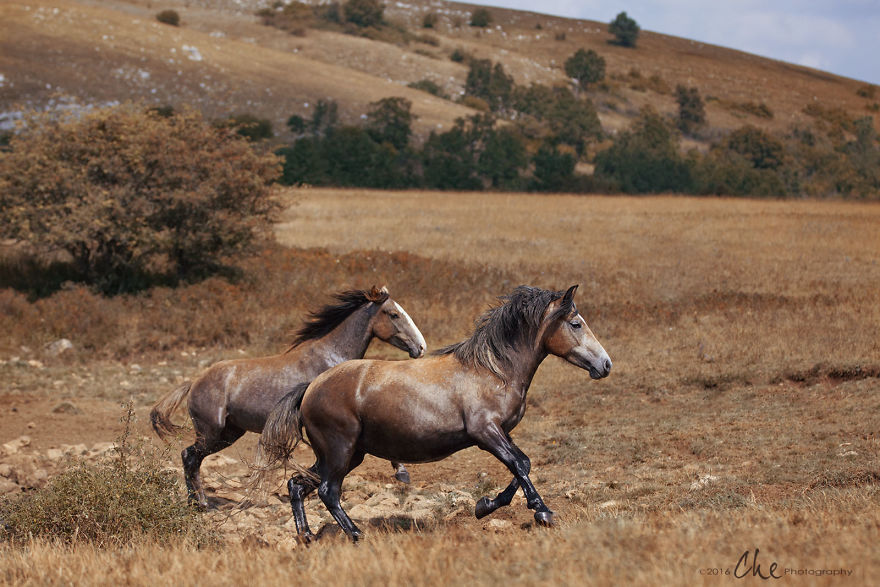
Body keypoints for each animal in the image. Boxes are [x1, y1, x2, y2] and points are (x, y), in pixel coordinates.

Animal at [150, 286, 426, 508]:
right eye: (394, 314)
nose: (421, 347)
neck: (328, 358)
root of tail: (195, 382)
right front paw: (402, 473)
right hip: (210, 432)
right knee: (189, 457)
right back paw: (202, 503)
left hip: (228, 433)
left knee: (192, 458)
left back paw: (196, 502)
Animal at [259, 284, 611, 542]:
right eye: (576, 324)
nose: (605, 365)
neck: (494, 371)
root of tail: (310, 387)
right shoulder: (485, 432)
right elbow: (519, 464)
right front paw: (542, 512)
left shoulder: (501, 432)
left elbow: (521, 466)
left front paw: (484, 506)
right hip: (339, 450)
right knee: (328, 492)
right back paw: (357, 534)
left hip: (346, 454)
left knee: (297, 484)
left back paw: (306, 536)